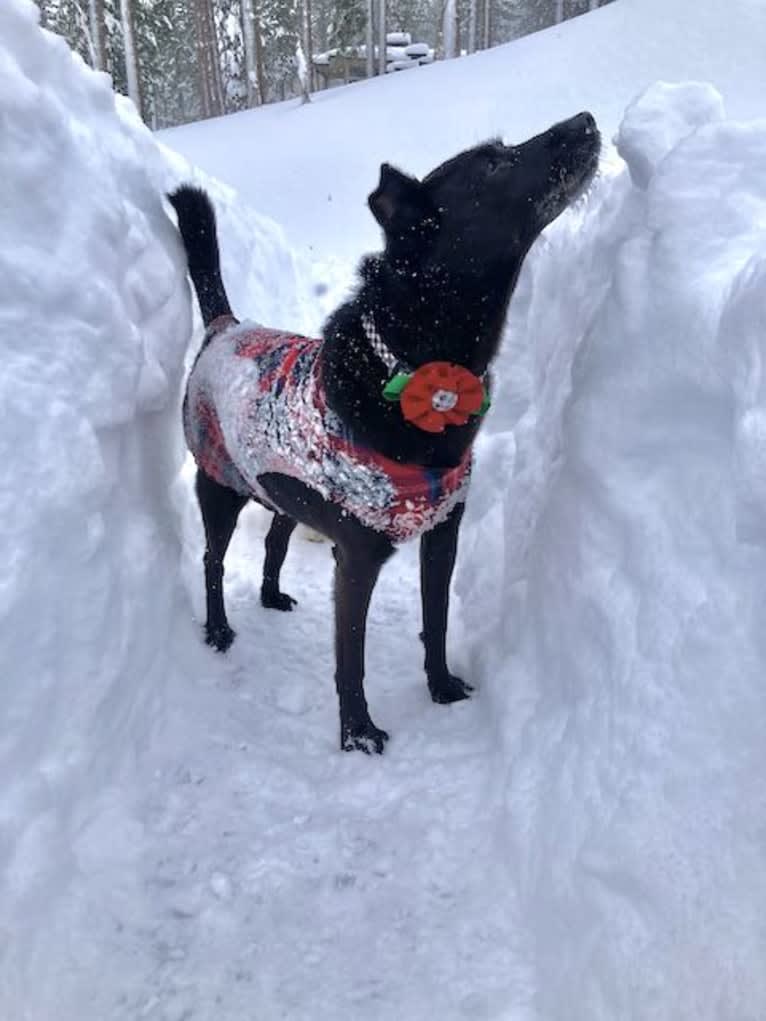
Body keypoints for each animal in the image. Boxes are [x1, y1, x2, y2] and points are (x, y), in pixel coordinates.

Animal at [170, 113, 604, 751]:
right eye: (493, 165)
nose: (587, 120)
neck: (414, 366)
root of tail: (226, 326)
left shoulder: (444, 534)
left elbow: (435, 619)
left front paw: (442, 687)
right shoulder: (356, 557)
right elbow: (351, 655)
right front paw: (357, 732)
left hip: (281, 488)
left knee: (275, 539)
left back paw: (271, 595)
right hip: (220, 488)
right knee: (211, 560)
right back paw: (219, 629)